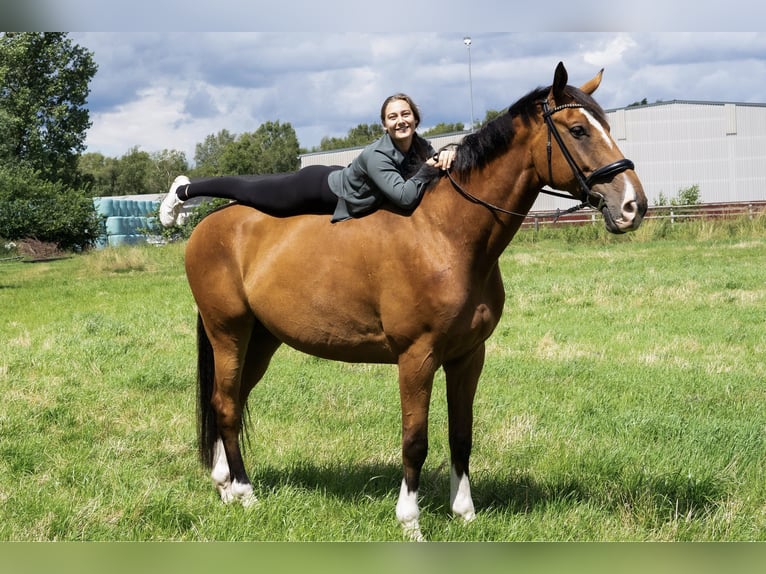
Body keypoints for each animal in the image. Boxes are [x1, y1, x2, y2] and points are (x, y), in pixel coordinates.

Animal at [184, 64, 648, 544]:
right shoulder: (416, 357)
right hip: (228, 332)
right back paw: (244, 493)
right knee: (226, 405)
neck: (445, 234)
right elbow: (415, 439)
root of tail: (208, 226)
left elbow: (461, 435)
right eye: (578, 130)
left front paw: (464, 512)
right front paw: (410, 522)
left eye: (607, 126)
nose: (633, 205)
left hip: (261, 339)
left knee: (229, 400)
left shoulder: (468, 356)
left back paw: (224, 486)